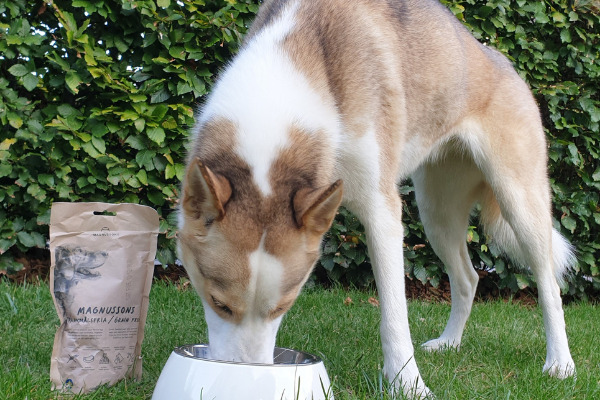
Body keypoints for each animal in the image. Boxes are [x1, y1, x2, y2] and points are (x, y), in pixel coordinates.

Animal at [178, 0, 576, 396]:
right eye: (218, 303)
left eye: (283, 307)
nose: (244, 373)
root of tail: (501, 61)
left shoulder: (382, 211)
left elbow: (395, 317)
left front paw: (409, 385)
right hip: (436, 213)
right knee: (468, 278)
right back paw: (450, 342)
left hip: (519, 202)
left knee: (549, 286)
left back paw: (560, 362)